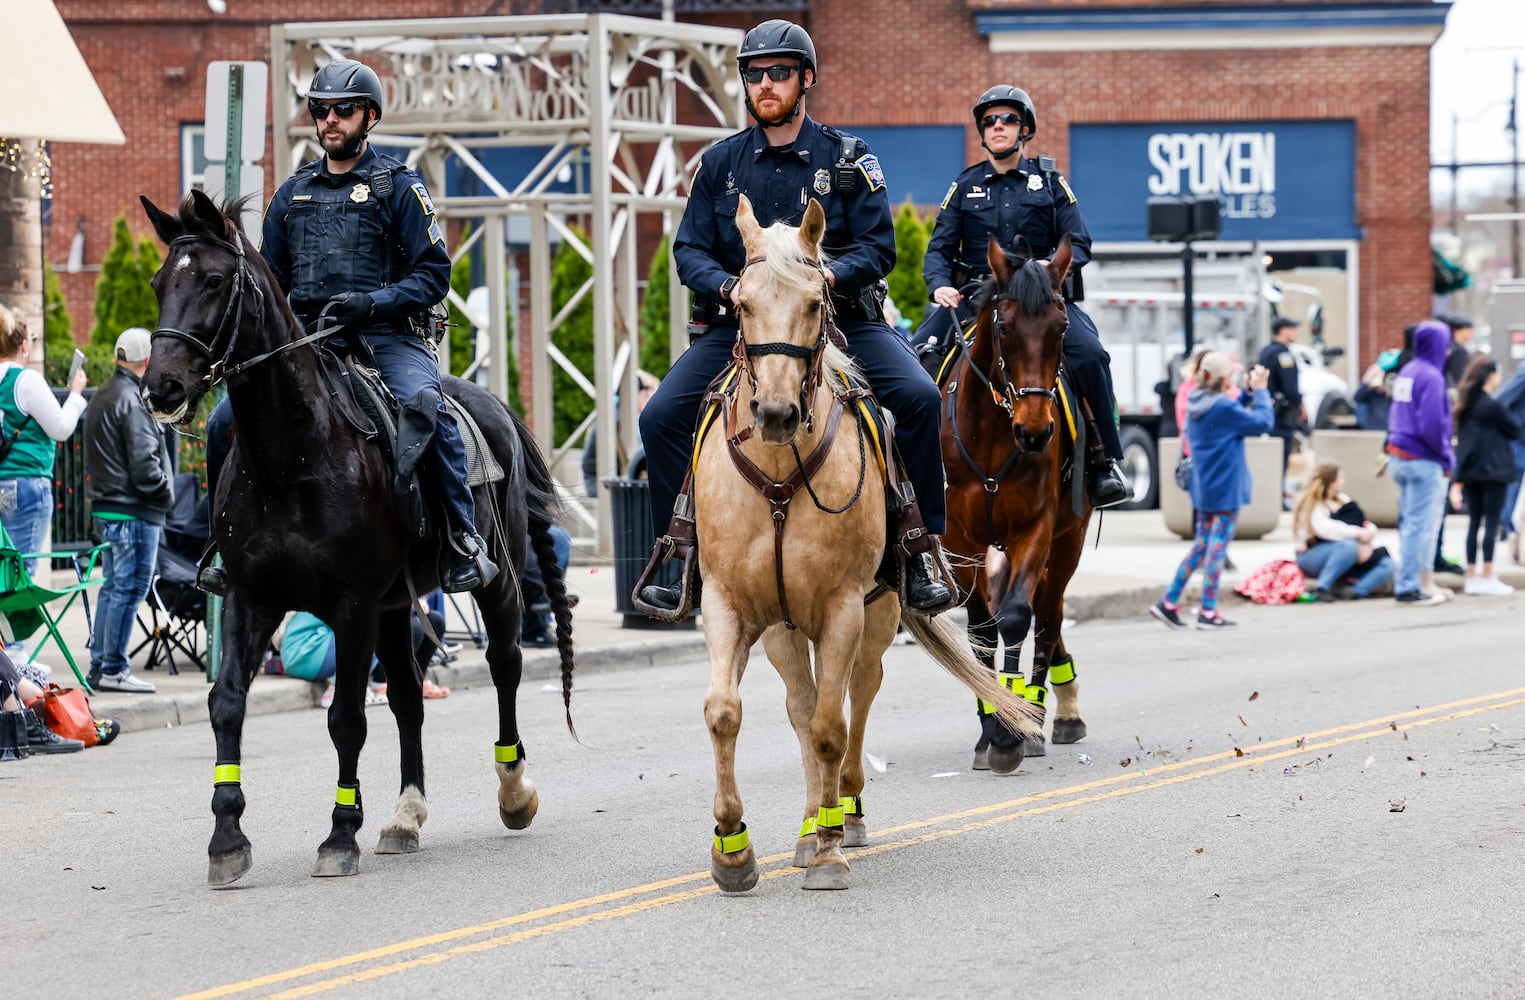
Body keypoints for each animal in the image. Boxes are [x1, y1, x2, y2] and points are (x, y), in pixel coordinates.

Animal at [140, 191, 576, 884]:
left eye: (211, 280)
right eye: (160, 283)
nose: (161, 388)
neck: (291, 458)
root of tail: (494, 405)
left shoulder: (351, 605)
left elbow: (346, 718)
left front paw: (340, 834)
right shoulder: (250, 598)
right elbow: (227, 702)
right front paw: (227, 837)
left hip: (497, 583)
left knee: (503, 665)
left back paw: (513, 791)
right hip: (397, 607)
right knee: (407, 696)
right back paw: (405, 816)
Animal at [698, 195, 1037, 890]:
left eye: (814, 302)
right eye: (741, 303)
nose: (775, 413)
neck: (779, 473)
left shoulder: (843, 608)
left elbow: (833, 726)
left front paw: (830, 850)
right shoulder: (728, 604)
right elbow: (729, 712)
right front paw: (732, 848)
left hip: (877, 614)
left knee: (859, 692)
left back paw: (842, 813)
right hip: (783, 629)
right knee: (802, 708)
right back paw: (808, 823)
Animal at [933, 234, 1091, 774]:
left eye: (1061, 327)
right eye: (1004, 327)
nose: (1037, 431)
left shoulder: (1035, 527)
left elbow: (1019, 617)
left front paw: (1011, 729)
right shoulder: (959, 538)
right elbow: (982, 629)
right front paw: (992, 729)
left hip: (1068, 541)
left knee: (1047, 618)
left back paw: (1044, 714)